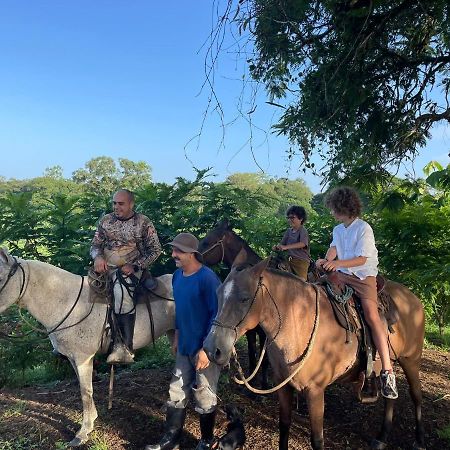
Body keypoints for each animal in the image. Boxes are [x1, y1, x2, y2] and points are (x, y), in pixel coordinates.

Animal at [0, 248, 176, 448]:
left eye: (1, 277)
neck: (66, 301)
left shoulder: (83, 358)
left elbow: (86, 392)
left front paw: (83, 432)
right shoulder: (73, 359)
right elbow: (84, 390)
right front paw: (91, 421)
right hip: (173, 334)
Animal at [199, 220, 268, 388]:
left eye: (206, 242)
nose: (195, 255)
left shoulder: (264, 334)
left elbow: (263, 361)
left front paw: (264, 385)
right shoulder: (250, 331)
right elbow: (252, 355)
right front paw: (250, 385)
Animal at [204, 260, 426, 450]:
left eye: (244, 298)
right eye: (218, 294)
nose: (211, 349)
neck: (299, 323)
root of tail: (413, 298)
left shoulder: (315, 391)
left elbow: (317, 440)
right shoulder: (283, 386)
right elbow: (284, 425)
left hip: (411, 360)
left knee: (416, 395)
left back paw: (419, 440)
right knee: (391, 399)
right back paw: (381, 438)